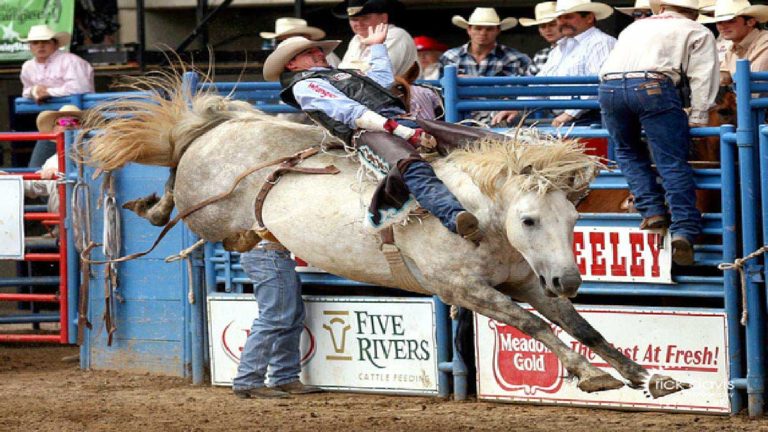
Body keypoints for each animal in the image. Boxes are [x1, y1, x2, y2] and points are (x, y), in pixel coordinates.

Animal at [82, 71, 688, 398]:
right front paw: (590, 377)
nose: (568, 279)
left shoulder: (526, 281)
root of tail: (219, 128)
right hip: (204, 204)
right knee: (177, 188)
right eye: (529, 219)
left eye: (573, 218)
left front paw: (645, 376)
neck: (479, 216)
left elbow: (580, 327)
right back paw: (155, 206)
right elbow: (534, 327)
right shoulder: (461, 290)